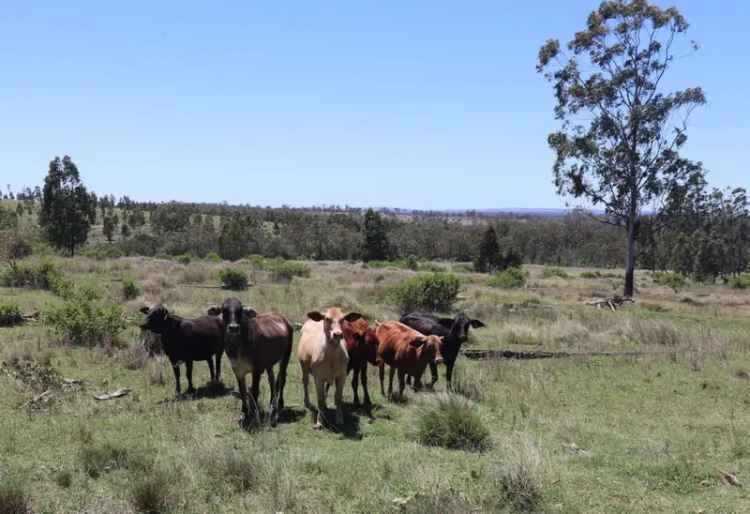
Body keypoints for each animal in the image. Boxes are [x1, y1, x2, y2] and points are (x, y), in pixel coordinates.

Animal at [212, 296, 296, 424]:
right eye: (224, 310)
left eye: (240, 311)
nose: (233, 328)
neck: (238, 346)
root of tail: (283, 319)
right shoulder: (238, 370)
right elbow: (243, 392)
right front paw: (244, 413)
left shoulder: (256, 370)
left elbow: (255, 391)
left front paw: (254, 414)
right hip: (269, 363)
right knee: (272, 380)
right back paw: (272, 405)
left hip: (286, 356)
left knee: (281, 379)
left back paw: (279, 405)